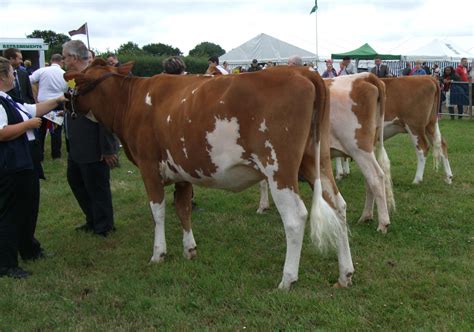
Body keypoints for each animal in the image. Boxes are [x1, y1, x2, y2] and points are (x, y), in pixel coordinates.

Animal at [63, 60, 354, 290]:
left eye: (79, 80)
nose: (65, 103)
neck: (131, 101)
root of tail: (303, 71)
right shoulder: (181, 173)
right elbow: (183, 209)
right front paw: (189, 249)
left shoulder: (148, 167)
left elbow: (158, 212)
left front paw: (158, 254)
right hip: (315, 161)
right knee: (338, 206)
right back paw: (345, 273)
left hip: (278, 167)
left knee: (295, 218)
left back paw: (287, 279)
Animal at [258, 73, 394, 232]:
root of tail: (365, 76)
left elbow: (262, 182)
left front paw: (262, 206)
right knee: (369, 179)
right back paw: (366, 215)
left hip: (359, 147)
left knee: (376, 177)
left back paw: (383, 222)